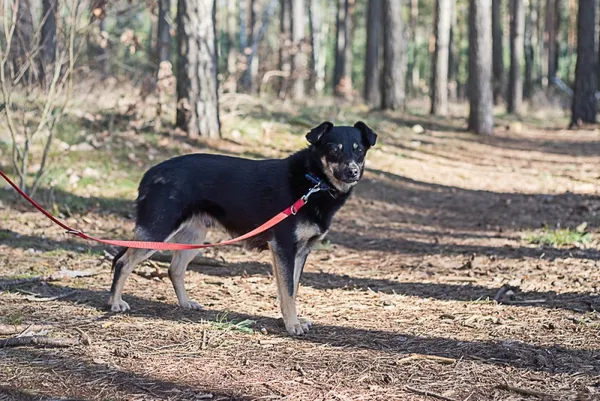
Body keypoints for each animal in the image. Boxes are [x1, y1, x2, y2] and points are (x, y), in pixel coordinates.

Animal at [109, 121, 376, 334]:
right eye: (333, 149)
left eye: (359, 150)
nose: (353, 171)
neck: (314, 182)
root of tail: (150, 173)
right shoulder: (284, 248)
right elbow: (289, 290)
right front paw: (292, 325)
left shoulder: (301, 251)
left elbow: (291, 289)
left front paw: (289, 319)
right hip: (157, 230)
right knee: (123, 262)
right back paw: (114, 302)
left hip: (194, 236)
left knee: (174, 269)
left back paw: (185, 303)